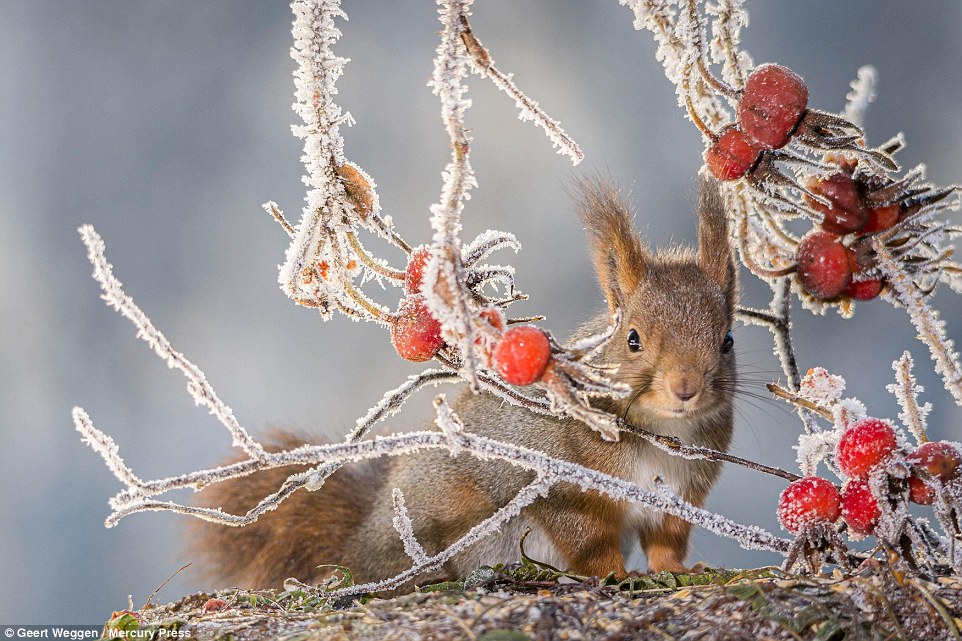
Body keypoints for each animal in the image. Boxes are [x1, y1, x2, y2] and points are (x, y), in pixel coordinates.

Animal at [193, 178, 736, 588]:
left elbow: (667, 541)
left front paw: (684, 570)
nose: (686, 388)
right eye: (633, 340)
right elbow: (586, 540)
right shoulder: (563, 482)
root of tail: (358, 546)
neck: (664, 434)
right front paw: (616, 575)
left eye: (727, 339)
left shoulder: (683, 495)